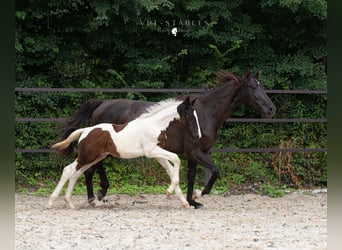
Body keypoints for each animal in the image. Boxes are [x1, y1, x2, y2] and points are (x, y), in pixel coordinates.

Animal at [47, 97, 200, 209]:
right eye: (189, 115)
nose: (197, 136)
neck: (154, 125)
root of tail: (85, 130)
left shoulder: (158, 155)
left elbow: (171, 170)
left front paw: (184, 202)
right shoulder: (151, 151)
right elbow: (176, 159)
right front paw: (169, 193)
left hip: (94, 158)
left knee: (77, 173)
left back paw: (70, 203)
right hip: (87, 157)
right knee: (68, 170)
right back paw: (51, 202)